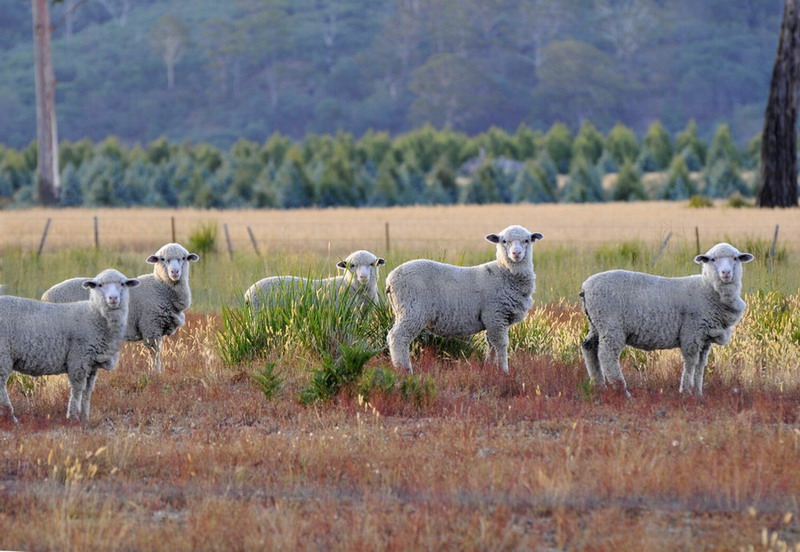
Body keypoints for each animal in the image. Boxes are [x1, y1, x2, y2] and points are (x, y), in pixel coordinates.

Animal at [0, 268, 139, 422]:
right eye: (100, 285)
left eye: (122, 284)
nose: (113, 298)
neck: (95, 315)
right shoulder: (79, 359)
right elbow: (78, 389)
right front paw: (73, 416)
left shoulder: (92, 364)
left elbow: (87, 392)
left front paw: (85, 417)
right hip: (3, 355)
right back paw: (10, 417)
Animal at [42, 242, 202, 370]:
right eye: (162, 259)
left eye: (184, 258)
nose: (175, 272)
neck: (160, 287)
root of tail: (45, 296)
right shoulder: (150, 326)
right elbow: (155, 354)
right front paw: (156, 374)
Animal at [382, 225, 544, 376]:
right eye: (504, 241)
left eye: (527, 240)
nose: (516, 253)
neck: (504, 272)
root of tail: (390, 279)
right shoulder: (495, 315)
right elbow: (501, 344)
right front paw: (504, 371)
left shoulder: (493, 319)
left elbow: (491, 345)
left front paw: (490, 368)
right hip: (412, 308)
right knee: (398, 337)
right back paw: (404, 370)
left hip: (402, 310)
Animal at [580, 243, 752, 396]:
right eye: (712, 259)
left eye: (735, 258)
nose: (726, 272)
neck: (708, 289)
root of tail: (585, 287)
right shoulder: (692, 332)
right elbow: (691, 363)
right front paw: (686, 391)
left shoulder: (705, 338)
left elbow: (700, 366)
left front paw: (698, 393)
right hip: (610, 323)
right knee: (606, 355)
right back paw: (621, 390)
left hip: (596, 324)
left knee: (589, 348)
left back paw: (599, 385)